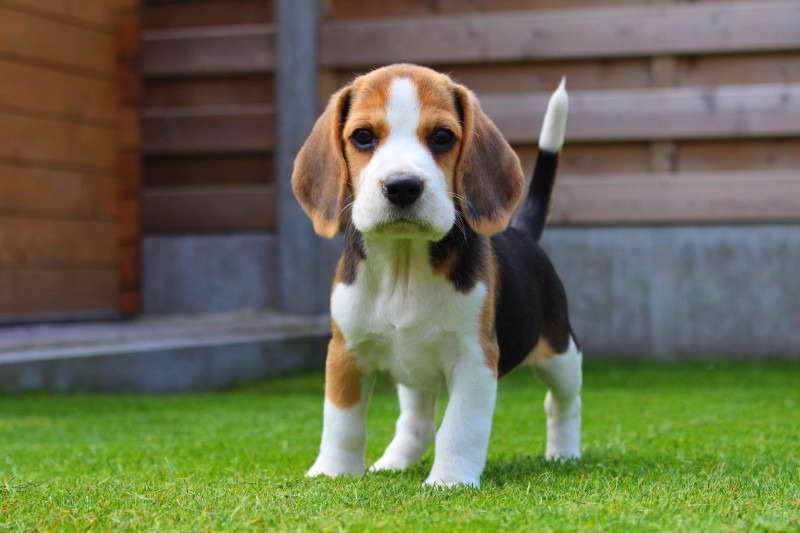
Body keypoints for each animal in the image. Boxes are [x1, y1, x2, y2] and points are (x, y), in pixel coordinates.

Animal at [290, 63, 580, 486]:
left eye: (442, 137)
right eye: (363, 136)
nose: (402, 186)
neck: (404, 263)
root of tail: (523, 232)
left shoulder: (475, 358)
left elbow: (460, 426)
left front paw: (450, 481)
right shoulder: (346, 351)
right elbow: (342, 421)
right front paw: (333, 472)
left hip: (559, 352)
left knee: (562, 402)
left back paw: (564, 453)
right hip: (412, 371)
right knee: (417, 422)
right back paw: (393, 462)